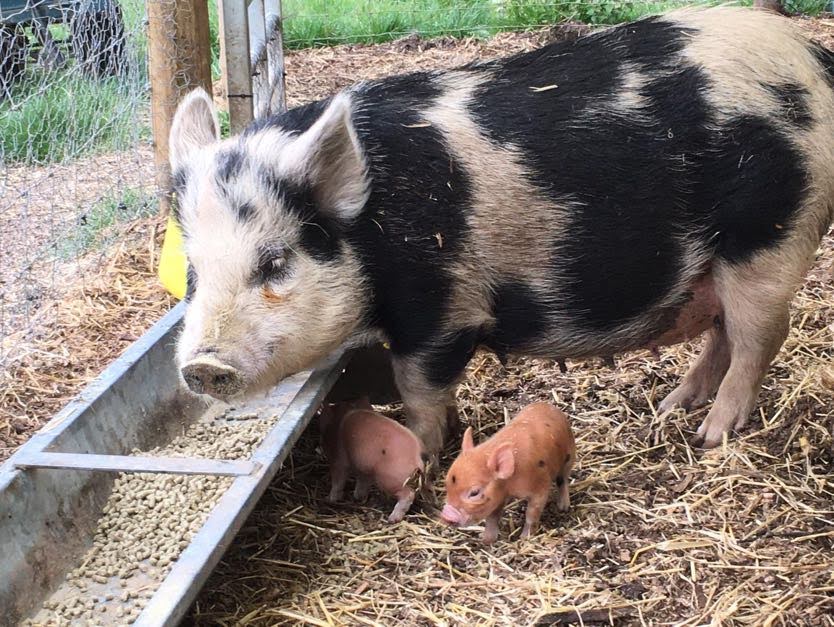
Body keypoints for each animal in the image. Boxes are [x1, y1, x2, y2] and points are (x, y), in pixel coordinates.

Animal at [169, 6, 832, 456]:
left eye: (276, 261)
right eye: (193, 273)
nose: (199, 367)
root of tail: (814, 59)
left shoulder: (442, 309)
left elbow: (418, 387)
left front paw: (419, 452)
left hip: (771, 235)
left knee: (761, 334)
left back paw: (710, 434)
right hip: (721, 260)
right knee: (722, 331)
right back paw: (674, 404)